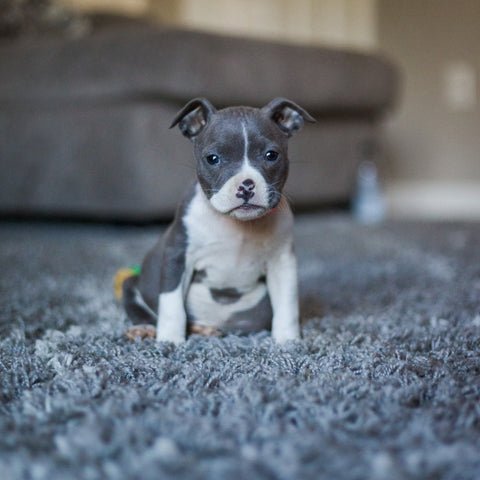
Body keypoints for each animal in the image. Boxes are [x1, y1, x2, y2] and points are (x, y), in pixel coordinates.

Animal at [123, 97, 316, 344]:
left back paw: (202, 329)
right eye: (213, 159)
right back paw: (145, 328)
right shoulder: (178, 256)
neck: (238, 225)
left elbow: (287, 305)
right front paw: (170, 341)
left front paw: (288, 341)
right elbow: (172, 305)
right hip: (132, 283)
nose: (246, 185)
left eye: (271, 155)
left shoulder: (282, 262)